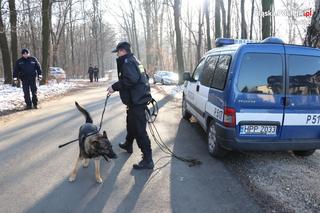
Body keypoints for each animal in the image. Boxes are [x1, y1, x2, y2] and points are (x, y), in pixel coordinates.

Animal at [107, 42, 154, 170]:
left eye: (118, 50)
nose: (116, 53)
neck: (129, 56)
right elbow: (130, 131)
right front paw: (126, 145)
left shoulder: (128, 67)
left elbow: (130, 79)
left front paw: (112, 87)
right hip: (132, 114)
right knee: (131, 127)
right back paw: (128, 147)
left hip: (137, 114)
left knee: (141, 135)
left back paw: (146, 162)